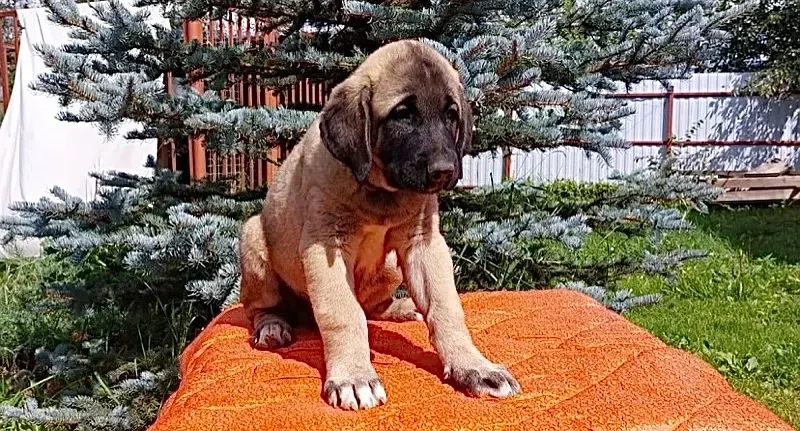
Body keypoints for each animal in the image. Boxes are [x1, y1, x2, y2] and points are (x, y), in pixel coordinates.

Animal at [239, 39, 520, 412]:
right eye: (402, 114)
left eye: (451, 115)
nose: (445, 171)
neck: (380, 191)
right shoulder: (326, 247)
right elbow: (343, 313)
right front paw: (354, 377)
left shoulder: (424, 244)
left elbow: (446, 308)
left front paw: (473, 366)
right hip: (253, 239)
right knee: (261, 307)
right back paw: (272, 326)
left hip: (390, 266)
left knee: (372, 307)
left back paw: (401, 308)